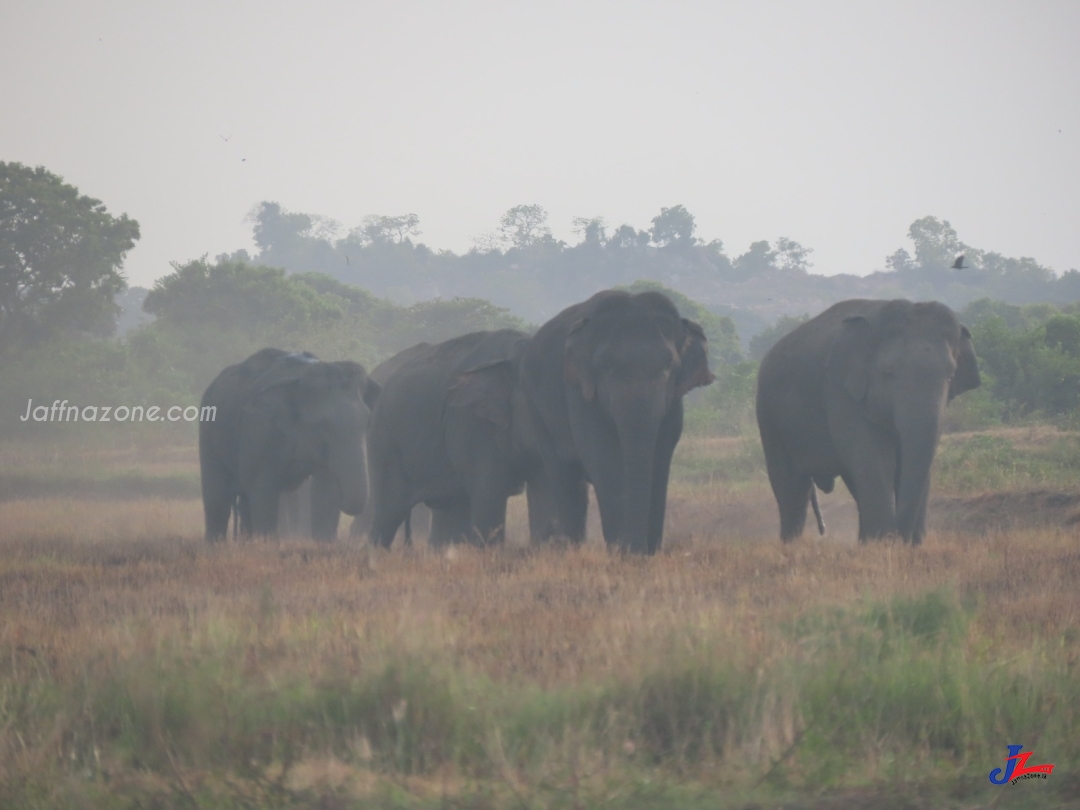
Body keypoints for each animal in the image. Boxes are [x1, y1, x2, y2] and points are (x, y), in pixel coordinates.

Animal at [200, 349, 382, 546]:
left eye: (367, 422)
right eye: (322, 425)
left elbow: (326, 487)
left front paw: (325, 544)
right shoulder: (260, 428)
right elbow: (263, 488)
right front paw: (268, 544)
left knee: (244, 502)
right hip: (209, 431)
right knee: (218, 498)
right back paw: (215, 545)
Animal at [516, 293, 712, 557]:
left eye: (668, 367)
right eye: (604, 367)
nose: (640, 551)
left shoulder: (673, 402)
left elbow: (660, 457)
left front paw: (647, 551)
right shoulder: (580, 391)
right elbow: (603, 455)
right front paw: (622, 550)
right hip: (535, 407)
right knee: (563, 475)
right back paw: (572, 548)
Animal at [760, 298, 980, 546]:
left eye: (950, 377)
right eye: (889, 372)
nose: (903, 536)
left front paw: (903, 544)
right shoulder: (839, 390)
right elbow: (872, 457)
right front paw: (884, 542)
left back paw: (864, 541)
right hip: (769, 419)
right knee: (790, 485)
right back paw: (791, 544)